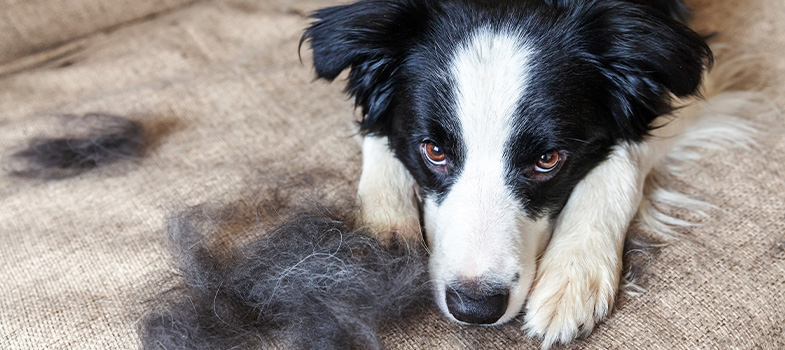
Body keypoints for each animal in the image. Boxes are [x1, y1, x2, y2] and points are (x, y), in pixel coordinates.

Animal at [306, 0, 716, 346]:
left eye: (548, 159)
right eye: (434, 151)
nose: (475, 308)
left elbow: (626, 151)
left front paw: (573, 273)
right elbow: (377, 127)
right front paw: (384, 232)